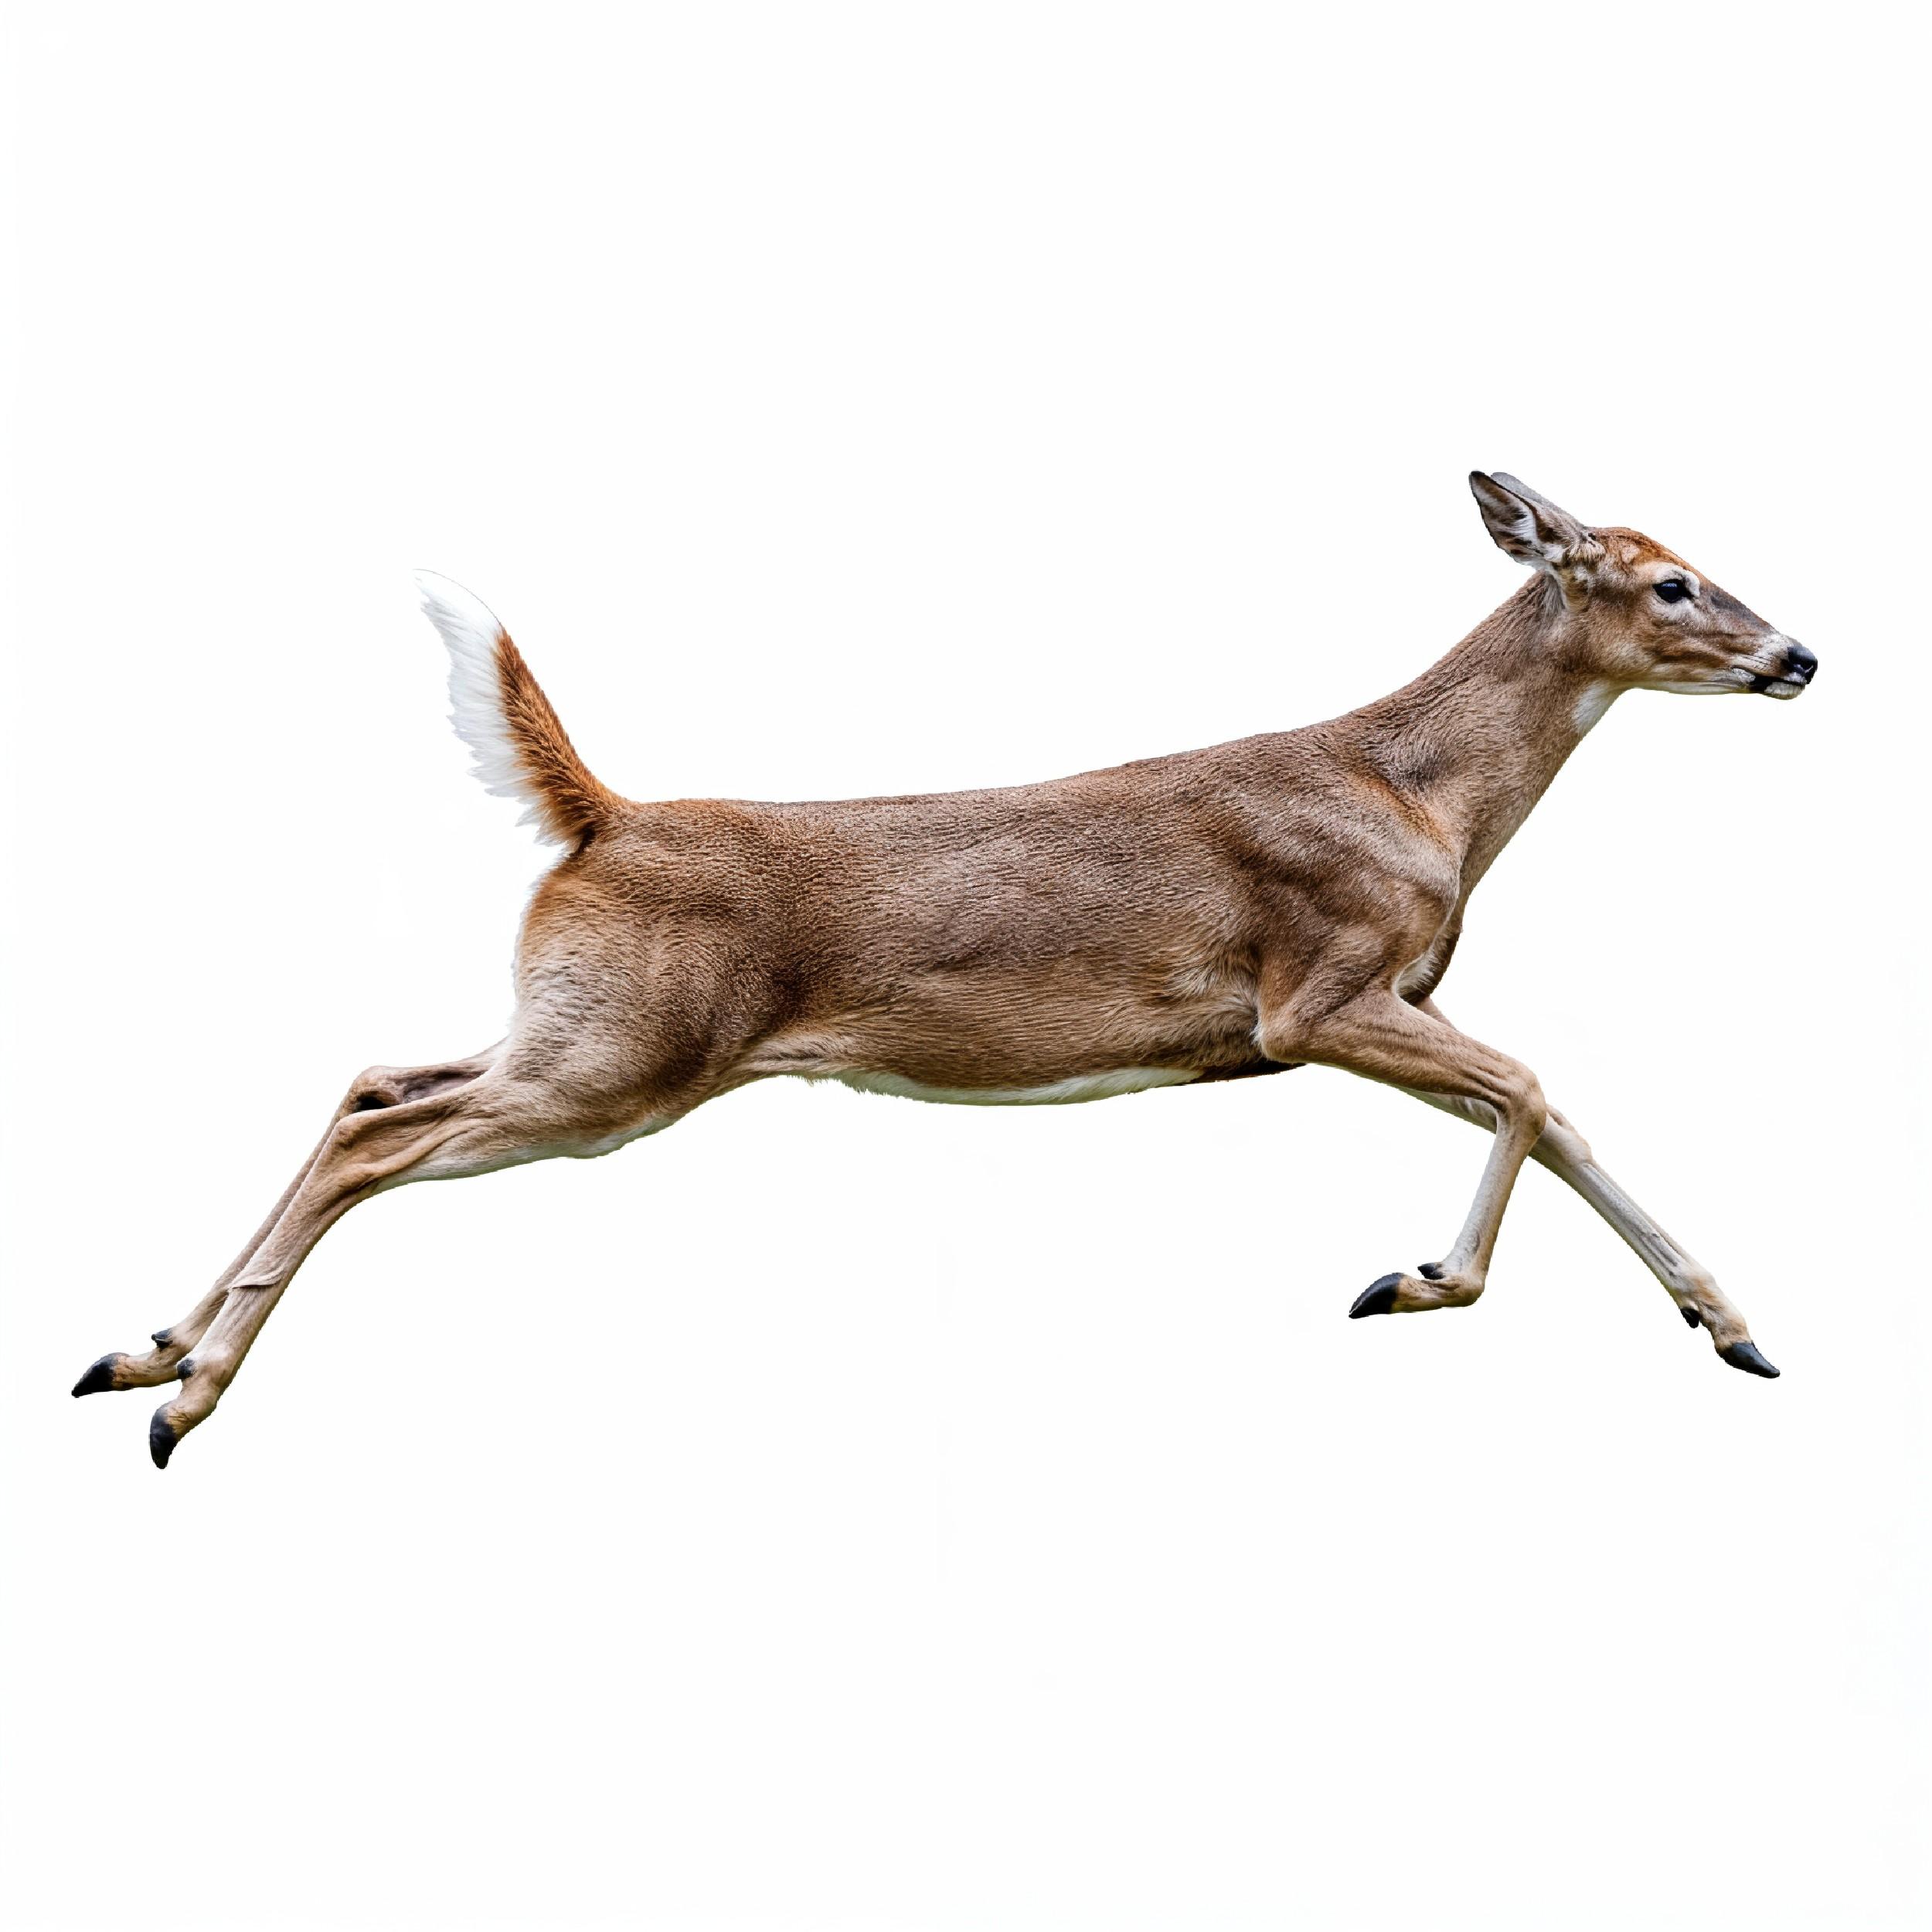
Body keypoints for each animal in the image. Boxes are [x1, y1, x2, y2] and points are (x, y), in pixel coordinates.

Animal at [73, 473, 1816, 1467]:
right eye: (1667, 580)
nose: (1796, 652)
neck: (1425, 800)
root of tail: (601, 816)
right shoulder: (1314, 992)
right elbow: (1532, 1086)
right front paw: (1414, 1282)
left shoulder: (1389, 1001)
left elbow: (1554, 1110)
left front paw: (1732, 1326)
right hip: (615, 1065)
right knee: (380, 1133)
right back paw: (181, 1396)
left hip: (578, 1032)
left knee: (371, 1077)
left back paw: (140, 1349)